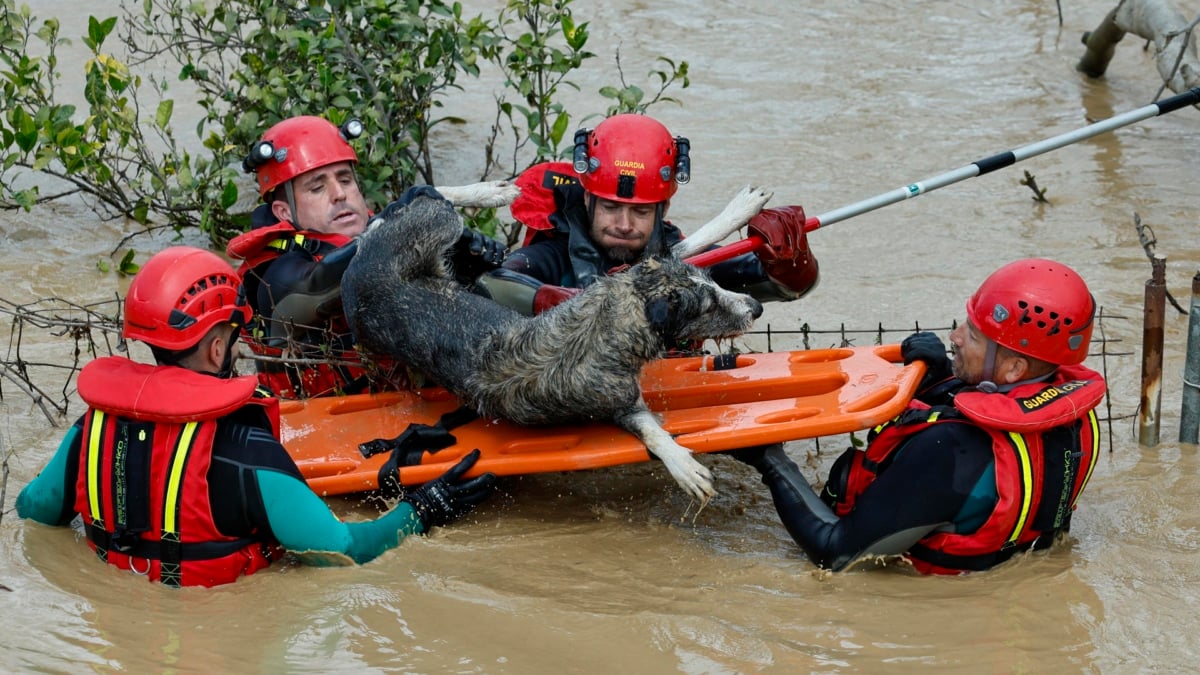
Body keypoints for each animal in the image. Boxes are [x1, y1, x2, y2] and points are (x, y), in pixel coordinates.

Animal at [343, 192, 763, 497]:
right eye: (707, 307)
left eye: (713, 284)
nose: (756, 307)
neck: (613, 316)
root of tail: (358, 277)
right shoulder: (618, 401)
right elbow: (651, 431)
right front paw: (683, 464)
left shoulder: (619, 277)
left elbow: (679, 248)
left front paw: (738, 210)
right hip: (433, 225)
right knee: (426, 202)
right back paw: (492, 190)